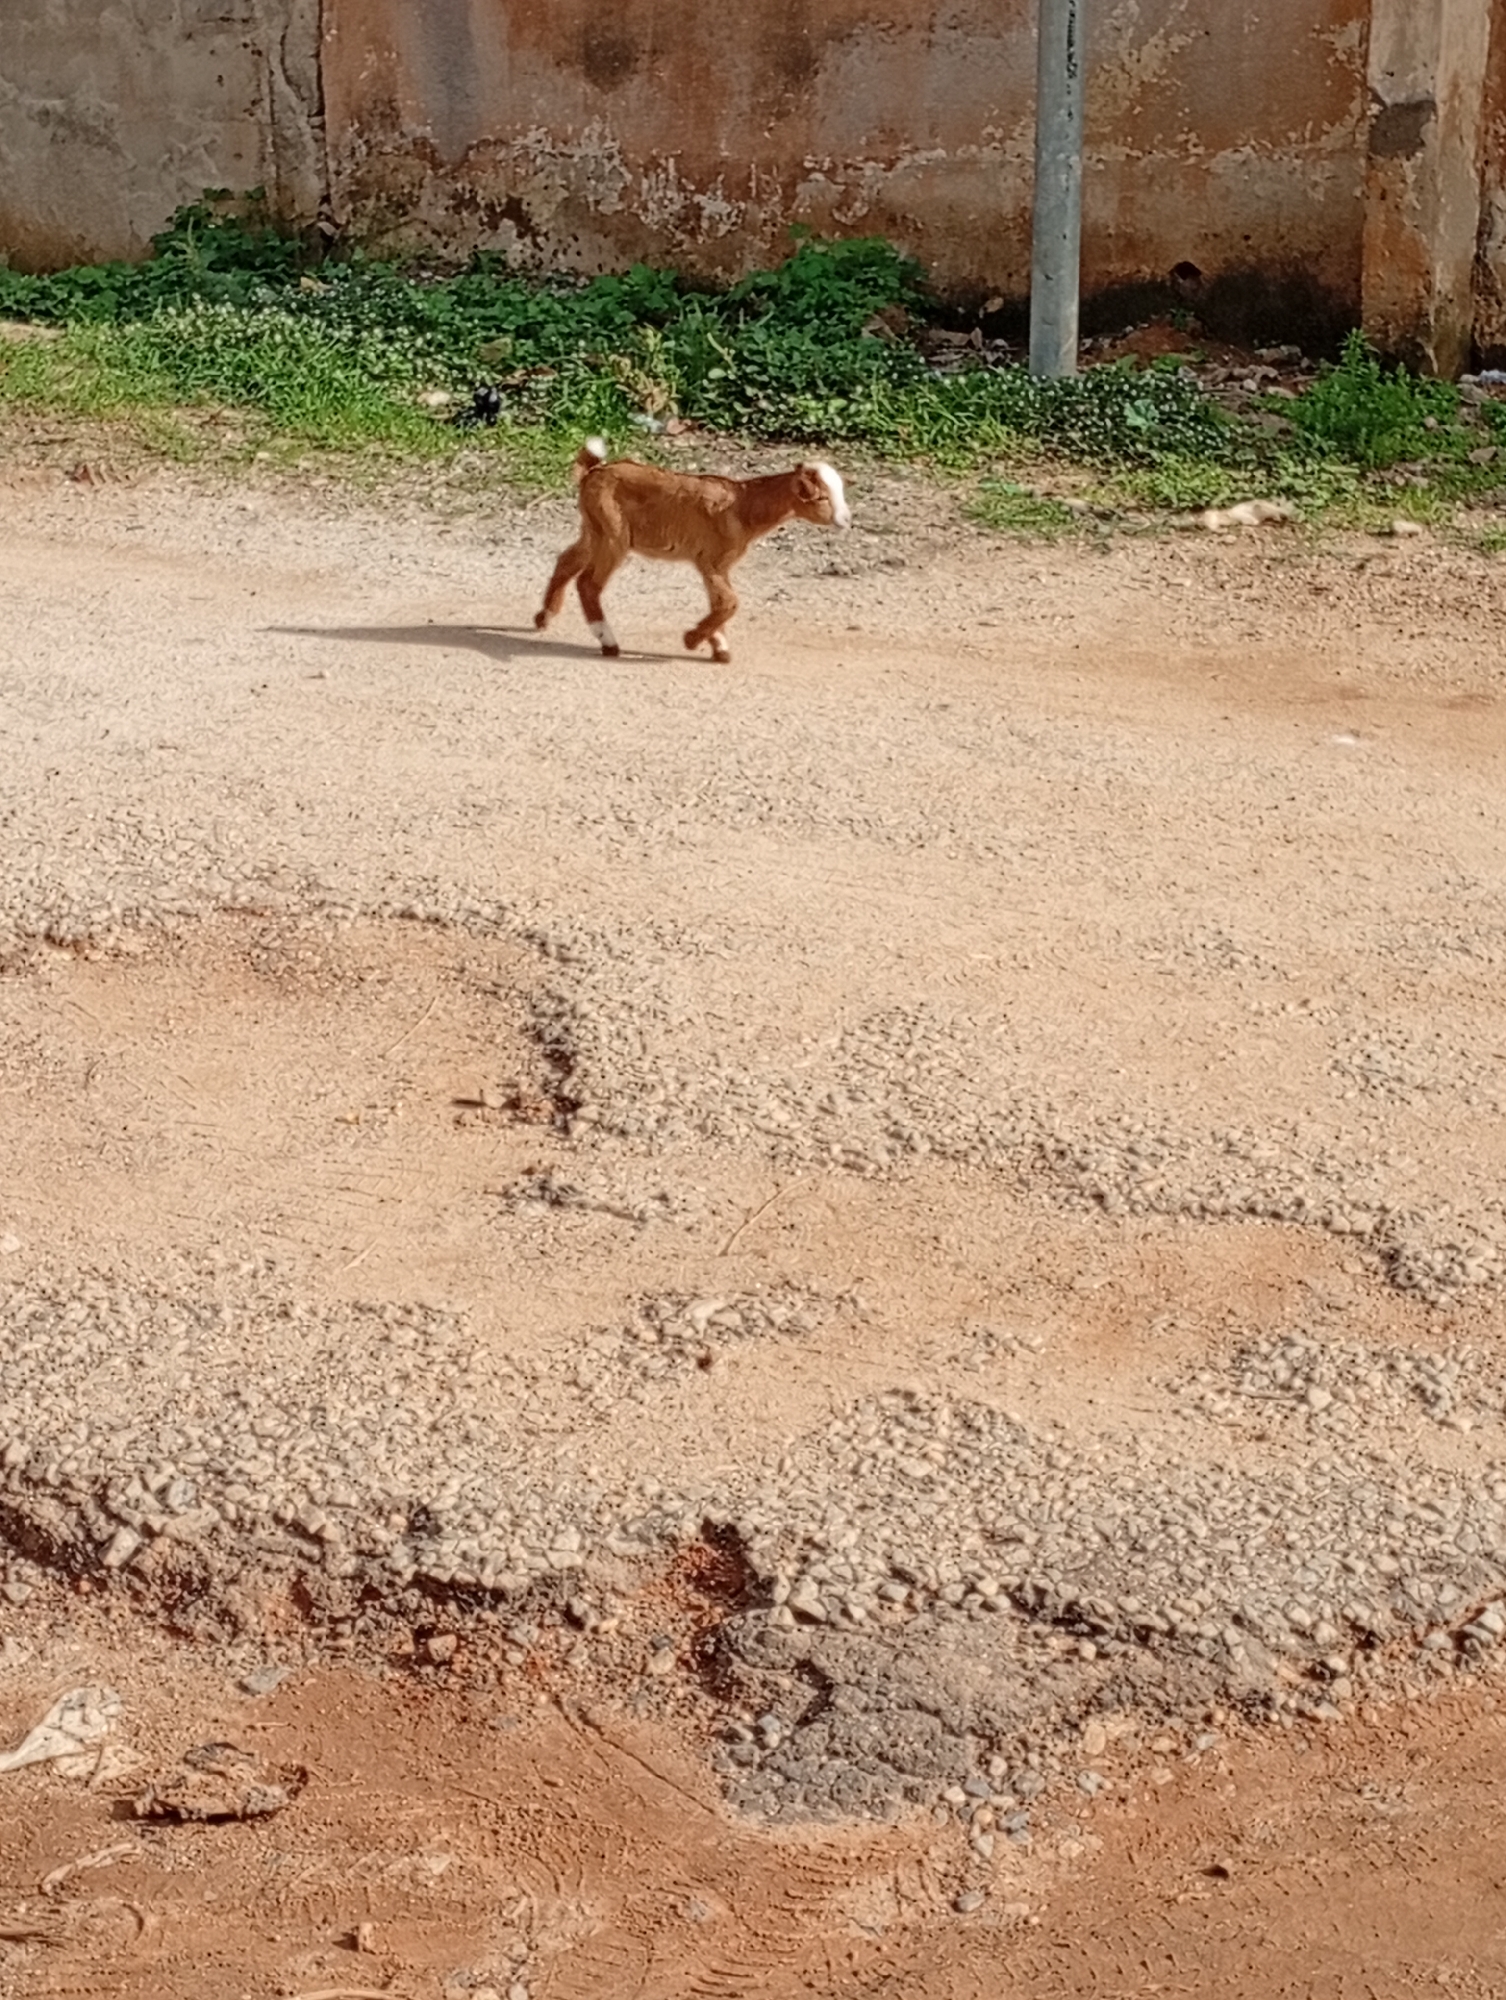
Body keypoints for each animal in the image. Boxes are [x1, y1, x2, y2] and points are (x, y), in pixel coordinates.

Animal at [534, 438, 852, 663]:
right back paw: (608, 641)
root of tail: (593, 472)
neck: (744, 507)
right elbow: (729, 602)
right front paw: (692, 640)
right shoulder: (710, 559)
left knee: (567, 561)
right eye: (822, 497)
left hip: (594, 529)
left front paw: (719, 647)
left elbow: (719, 601)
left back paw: (544, 617)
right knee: (588, 583)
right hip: (614, 534)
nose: (846, 519)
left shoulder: (719, 565)